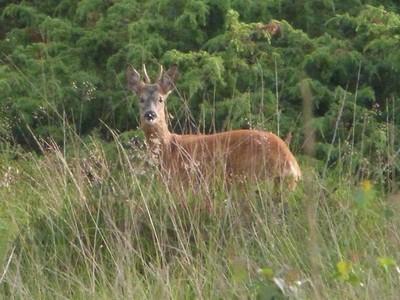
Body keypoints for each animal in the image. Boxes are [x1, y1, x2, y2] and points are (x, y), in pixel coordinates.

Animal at [126, 65, 302, 190]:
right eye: (141, 99)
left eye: (161, 99)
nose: (150, 114)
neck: (169, 148)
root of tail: (292, 164)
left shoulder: (182, 182)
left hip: (253, 177)